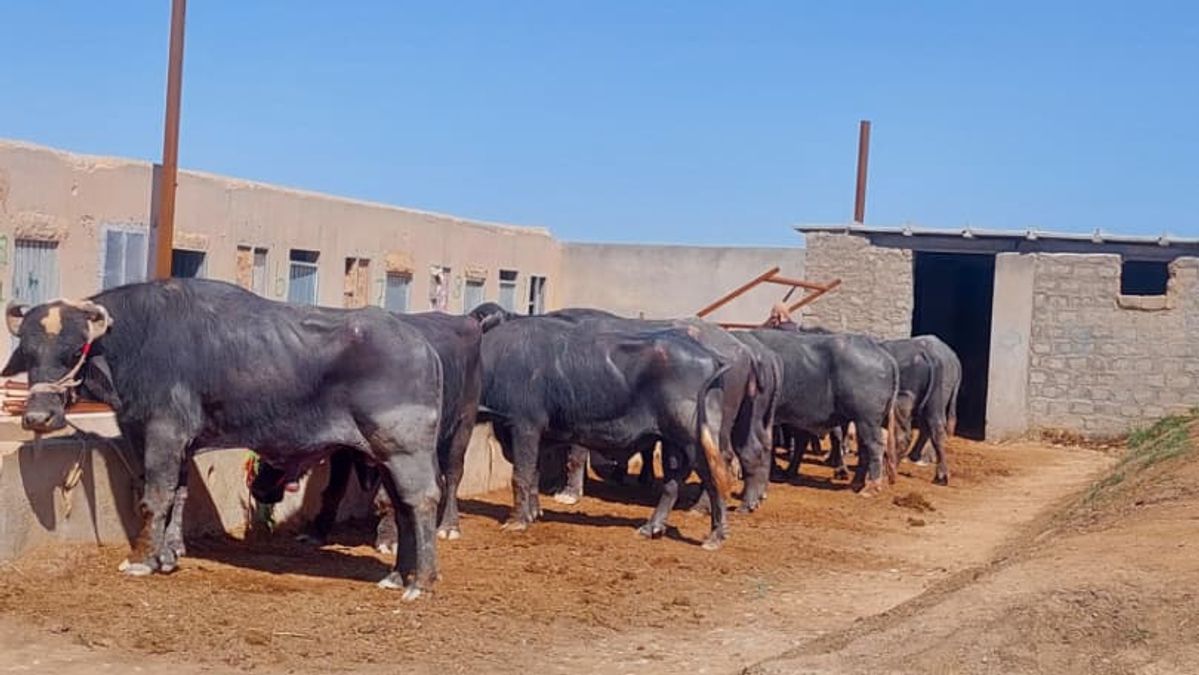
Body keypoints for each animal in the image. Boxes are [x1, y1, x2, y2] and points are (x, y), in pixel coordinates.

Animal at [3, 279, 444, 600]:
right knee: (402, 507)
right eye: (29, 351)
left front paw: (142, 559)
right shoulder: (167, 440)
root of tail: (423, 345)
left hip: (404, 451)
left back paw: (420, 582)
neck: (138, 341)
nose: (38, 416)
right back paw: (399, 576)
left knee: (422, 501)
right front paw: (167, 554)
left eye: (74, 348)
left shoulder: (163, 433)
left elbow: (155, 497)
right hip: (384, 458)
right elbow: (177, 494)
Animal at [250, 311, 482, 549]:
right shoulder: (342, 450)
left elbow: (386, 498)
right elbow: (334, 490)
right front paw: (316, 532)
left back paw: (449, 526)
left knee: (453, 474)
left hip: (463, 424)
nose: (258, 489)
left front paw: (389, 539)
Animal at [473, 305, 778, 515]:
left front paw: (570, 492)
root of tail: (745, 350)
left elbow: (574, 456)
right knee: (753, 450)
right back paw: (749, 500)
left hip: (715, 426)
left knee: (722, 457)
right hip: (745, 420)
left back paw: (702, 507)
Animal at [744, 330, 899, 496]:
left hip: (868, 420)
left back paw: (872, 487)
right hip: (863, 421)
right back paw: (856, 483)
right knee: (864, 448)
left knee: (875, 446)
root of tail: (883, 354)